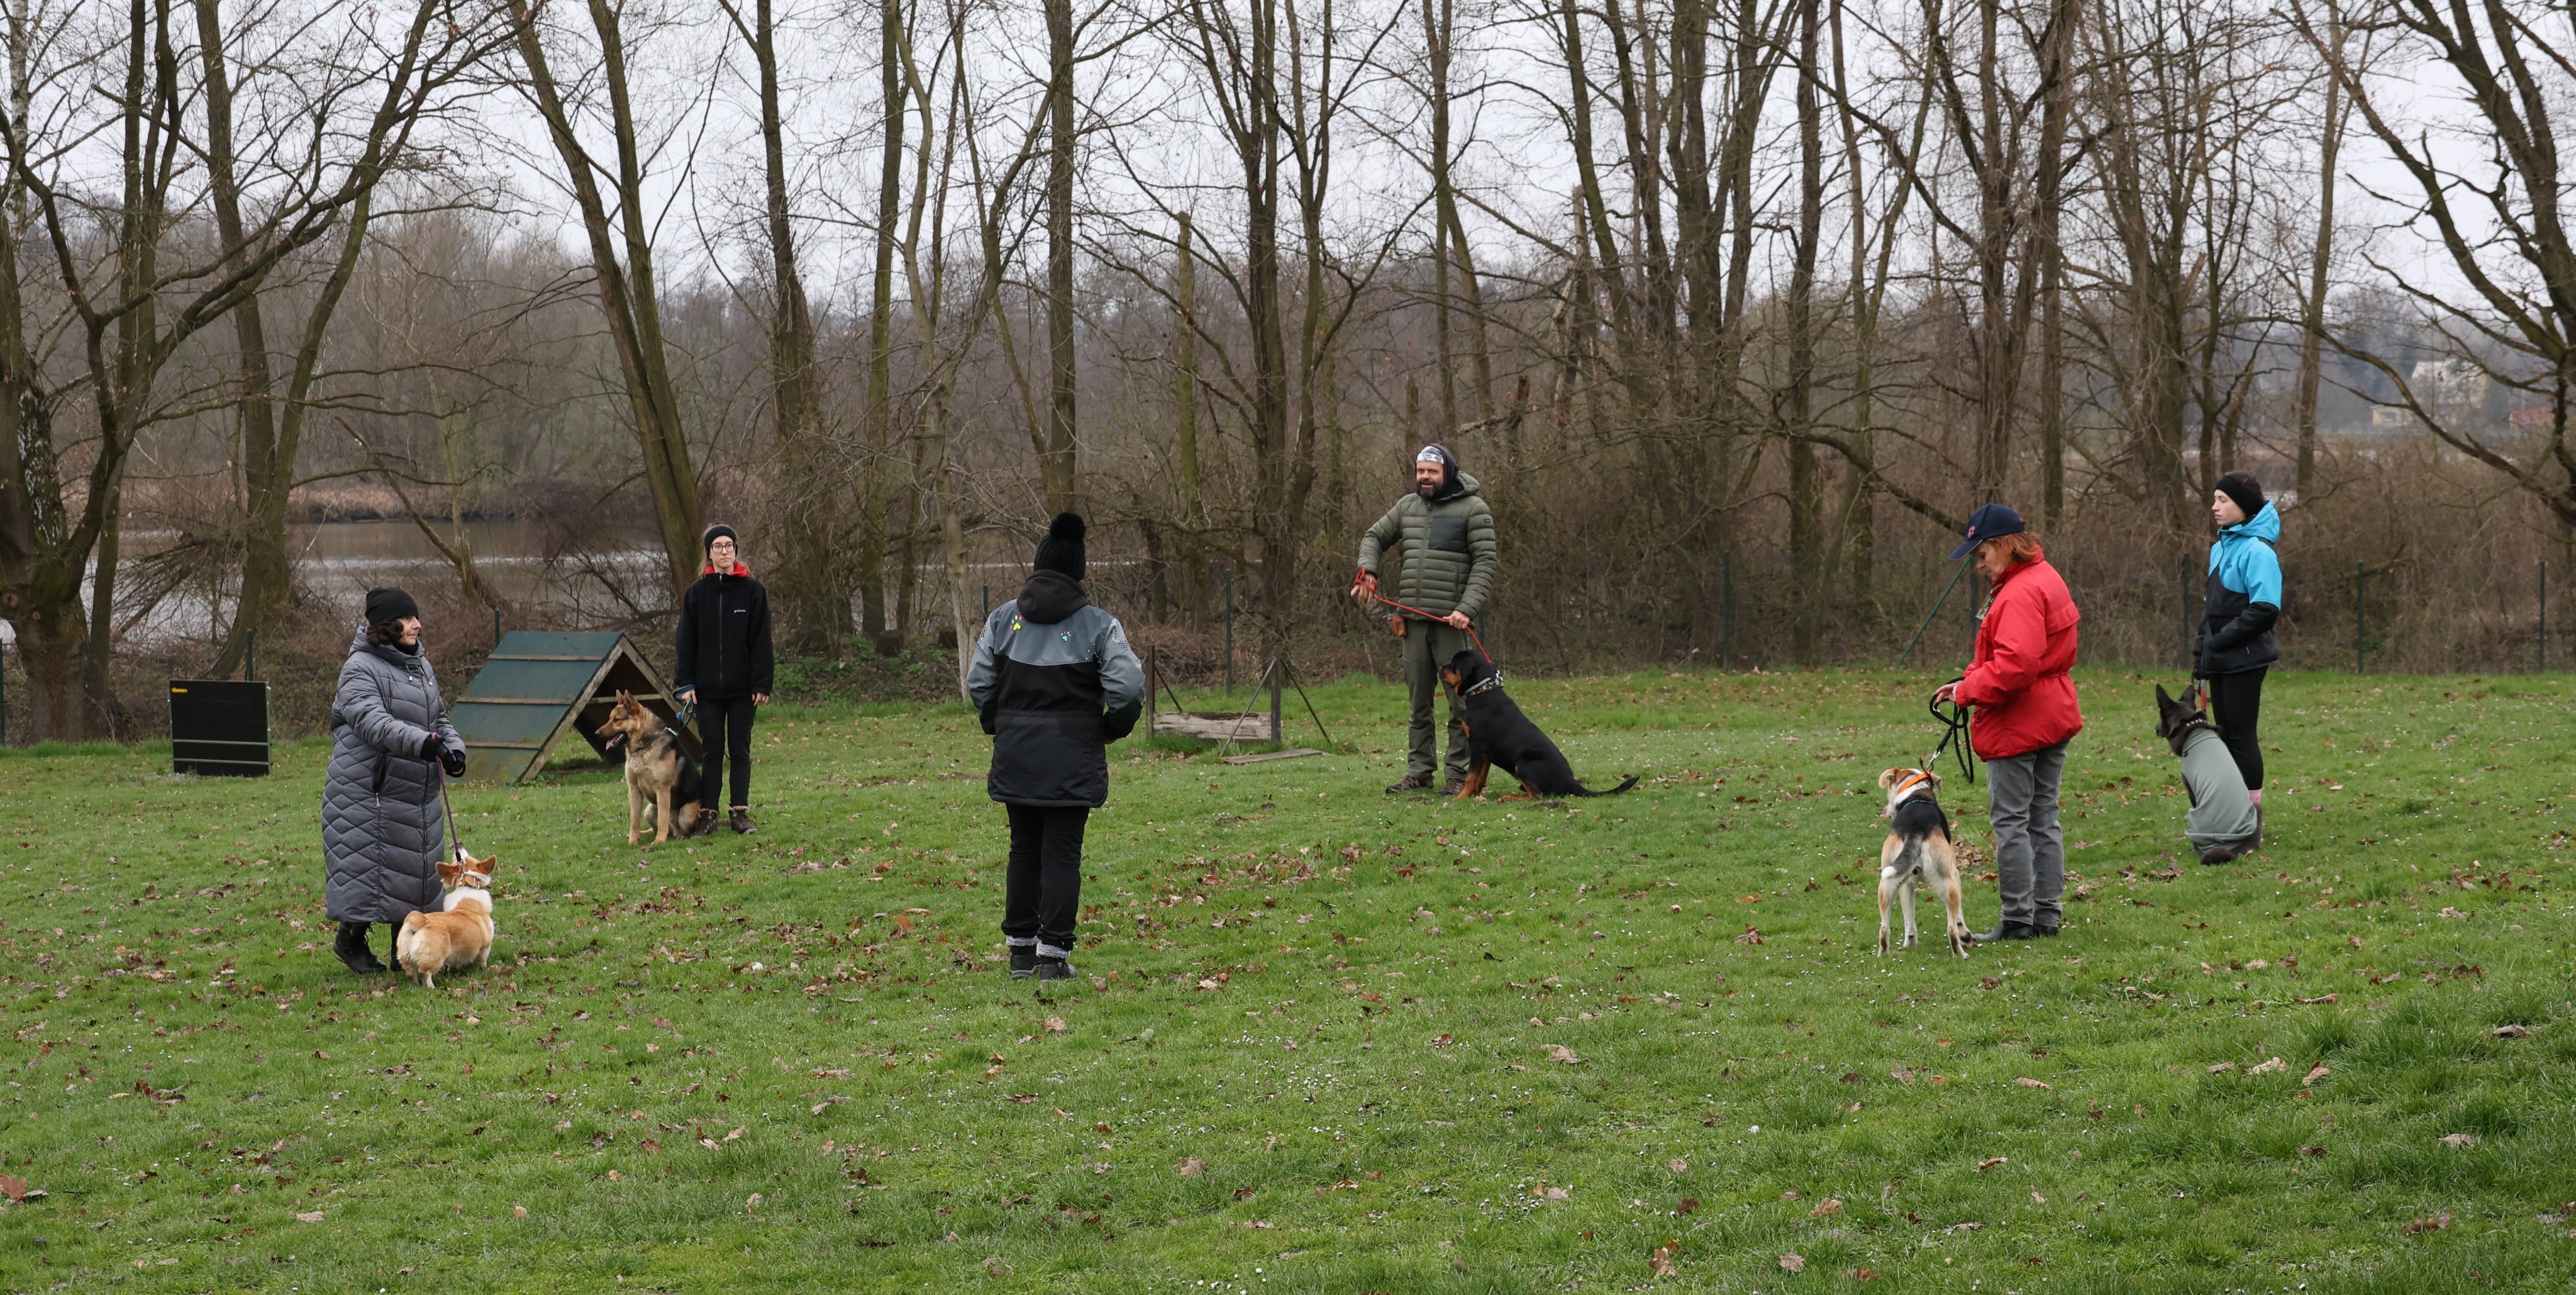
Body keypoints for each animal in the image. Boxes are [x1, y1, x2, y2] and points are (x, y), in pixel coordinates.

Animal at [394, 851, 498, 989]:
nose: (459, 850)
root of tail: (420, 921)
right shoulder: (486, 945)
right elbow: (482, 959)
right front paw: (482, 969)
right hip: (435, 958)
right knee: (425, 972)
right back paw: (431, 988)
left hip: (406, 958)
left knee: (412, 973)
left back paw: (416, 985)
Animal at [600, 690, 700, 845]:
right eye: (610, 719)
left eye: (616, 720)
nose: (597, 733)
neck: (644, 745)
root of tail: (675, 830)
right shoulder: (634, 789)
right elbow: (634, 819)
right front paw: (633, 841)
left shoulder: (663, 790)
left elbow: (663, 819)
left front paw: (659, 841)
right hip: (649, 810)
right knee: (654, 828)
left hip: (686, 814)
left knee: (685, 829)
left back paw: (681, 836)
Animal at [1438, 649, 1640, 800]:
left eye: (1454, 664)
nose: (1440, 667)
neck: (1482, 691)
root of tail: (1571, 780)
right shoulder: (1485, 753)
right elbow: (1481, 776)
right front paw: (1475, 795)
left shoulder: (1478, 746)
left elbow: (1471, 776)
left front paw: (1461, 798)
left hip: (1524, 763)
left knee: (1537, 796)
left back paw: (1510, 797)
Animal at [1875, 768, 1970, 957]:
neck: (1917, 794)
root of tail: (1915, 830)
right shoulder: (1955, 874)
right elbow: (1959, 916)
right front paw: (1965, 934)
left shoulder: (1906, 885)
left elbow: (1909, 918)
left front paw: (1910, 944)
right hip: (1948, 882)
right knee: (1952, 928)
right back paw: (1961, 954)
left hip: (1886, 883)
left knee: (1884, 928)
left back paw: (1884, 955)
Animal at [2155, 683, 2261, 865]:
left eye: (2160, 717)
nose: (2155, 729)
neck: (2191, 729)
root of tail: (2229, 848)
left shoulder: (2191, 789)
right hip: (2257, 810)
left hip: (2192, 817)